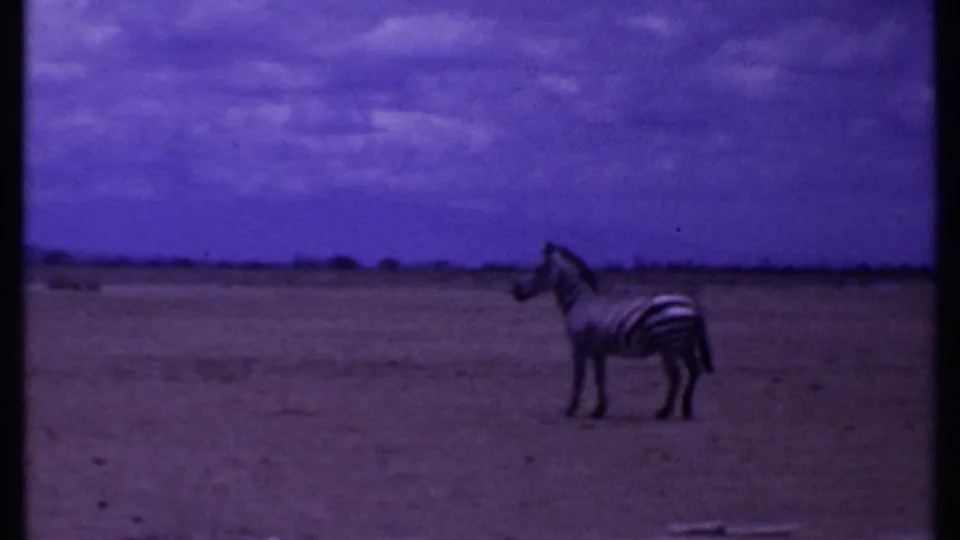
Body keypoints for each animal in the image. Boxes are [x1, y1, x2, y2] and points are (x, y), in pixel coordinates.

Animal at [510, 242, 715, 420]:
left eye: (538, 269)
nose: (515, 291)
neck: (580, 304)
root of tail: (692, 304)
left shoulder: (579, 349)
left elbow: (579, 379)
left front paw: (571, 409)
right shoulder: (598, 352)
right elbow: (600, 378)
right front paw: (599, 410)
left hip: (669, 347)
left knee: (676, 377)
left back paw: (663, 412)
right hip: (685, 346)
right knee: (694, 371)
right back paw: (686, 409)